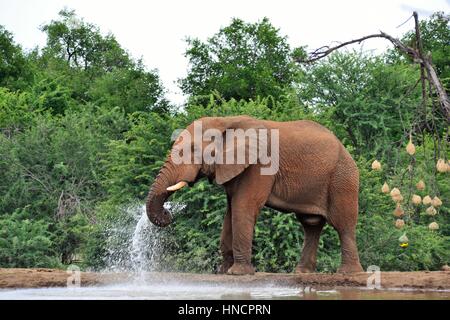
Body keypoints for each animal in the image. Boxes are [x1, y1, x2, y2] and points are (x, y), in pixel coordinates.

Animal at [146, 115, 364, 276]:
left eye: (192, 150)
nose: (168, 213)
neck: (225, 120)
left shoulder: (261, 164)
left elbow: (244, 206)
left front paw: (238, 273)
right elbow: (231, 210)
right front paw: (224, 272)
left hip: (342, 178)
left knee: (342, 223)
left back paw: (348, 274)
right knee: (311, 224)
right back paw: (302, 273)